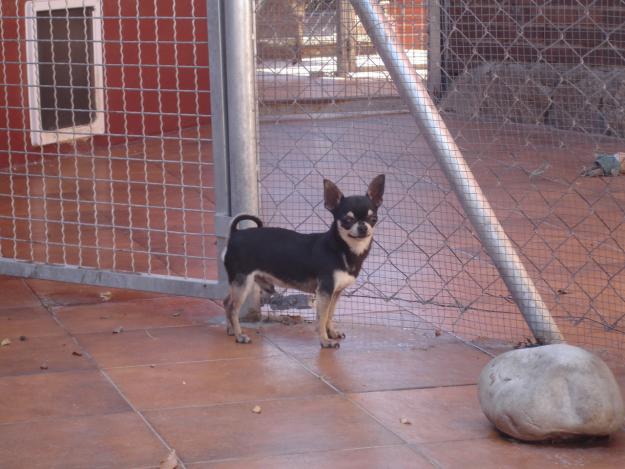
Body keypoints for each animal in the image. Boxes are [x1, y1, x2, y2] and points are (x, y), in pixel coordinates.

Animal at [222, 176, 382, 348]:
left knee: (226, 302)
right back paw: (239, 335)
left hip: (241, 283)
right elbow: (321, 318)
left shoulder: (335, 292)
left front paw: (331, 332)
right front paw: (325, 340)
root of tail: (235, 234)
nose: (363, 227)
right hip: (243, 283)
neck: (341, 248)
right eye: (347, 220)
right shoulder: (324, 291)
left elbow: (330, 314)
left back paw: (230, 330)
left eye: (373, 219)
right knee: (232, 308)